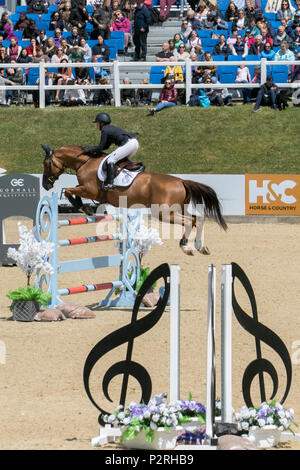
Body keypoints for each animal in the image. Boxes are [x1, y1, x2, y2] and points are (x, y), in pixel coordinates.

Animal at [41, 145, 226, 255]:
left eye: (46, 163)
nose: (45, 185)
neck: (85, 162)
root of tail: (181, 181)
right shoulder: (87, 189)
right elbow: (72, 190)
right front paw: (83, 207)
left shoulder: (91, 191)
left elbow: (69, 191)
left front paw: (82, 207)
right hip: (178, 209)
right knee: (197, 219)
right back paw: (200, 246)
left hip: (164, 213)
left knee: (189, 221)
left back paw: (185, 246)